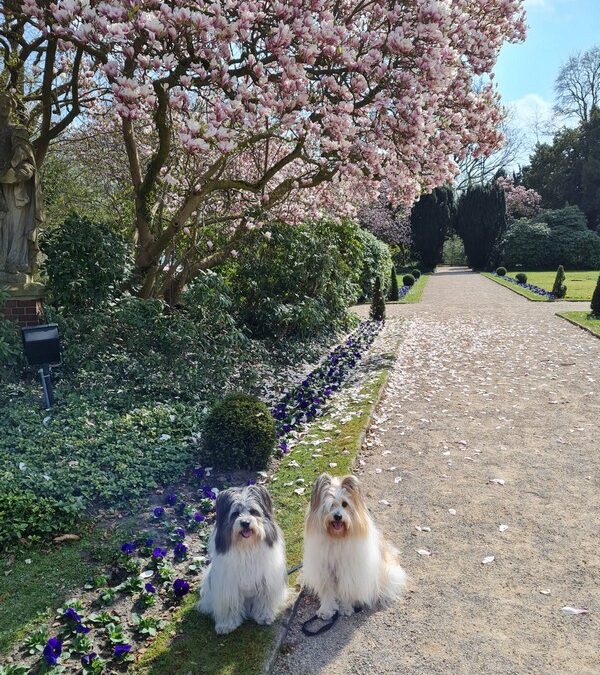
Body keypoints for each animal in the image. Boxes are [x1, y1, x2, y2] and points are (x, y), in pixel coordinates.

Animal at [196, 486, 288, 632]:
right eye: (235, 514)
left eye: (254, 512)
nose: (245, 523)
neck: (247, 547)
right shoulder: (227, 586)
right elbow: (228, 604)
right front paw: (226, 625)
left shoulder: (266, 581)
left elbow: (264, 600)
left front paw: (264, 616)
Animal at [302, 472, 406, 620]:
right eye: (330, 505)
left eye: (345, 504)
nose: (338, 516)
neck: (337, 538)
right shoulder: (325, 571)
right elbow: (327, 592)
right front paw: (326, 610)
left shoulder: (349, 572)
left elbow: (347, 590)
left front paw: (346, 608)